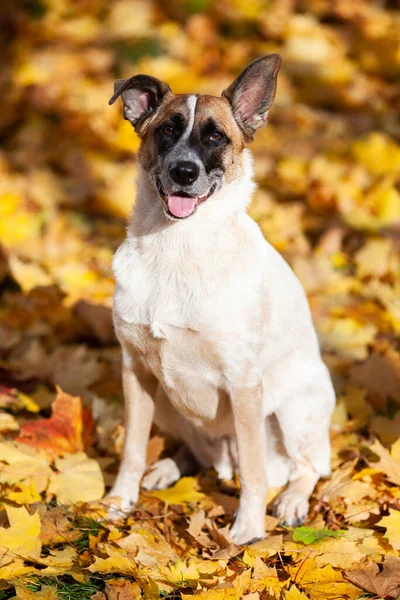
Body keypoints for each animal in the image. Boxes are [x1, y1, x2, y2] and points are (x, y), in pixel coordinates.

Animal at [108, 55, 336, 544]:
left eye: (216, 137)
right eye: (167, 130)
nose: (184, 173)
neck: (176, 249)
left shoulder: (243, 383)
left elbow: (253, 471)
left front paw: (248, 529)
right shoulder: (135, 369)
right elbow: (132, 448)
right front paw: (117, 502)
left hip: (293, 409)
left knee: (305, 467)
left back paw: (291, 501)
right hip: (168, 401)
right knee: (197, 453)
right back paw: (166, 469)